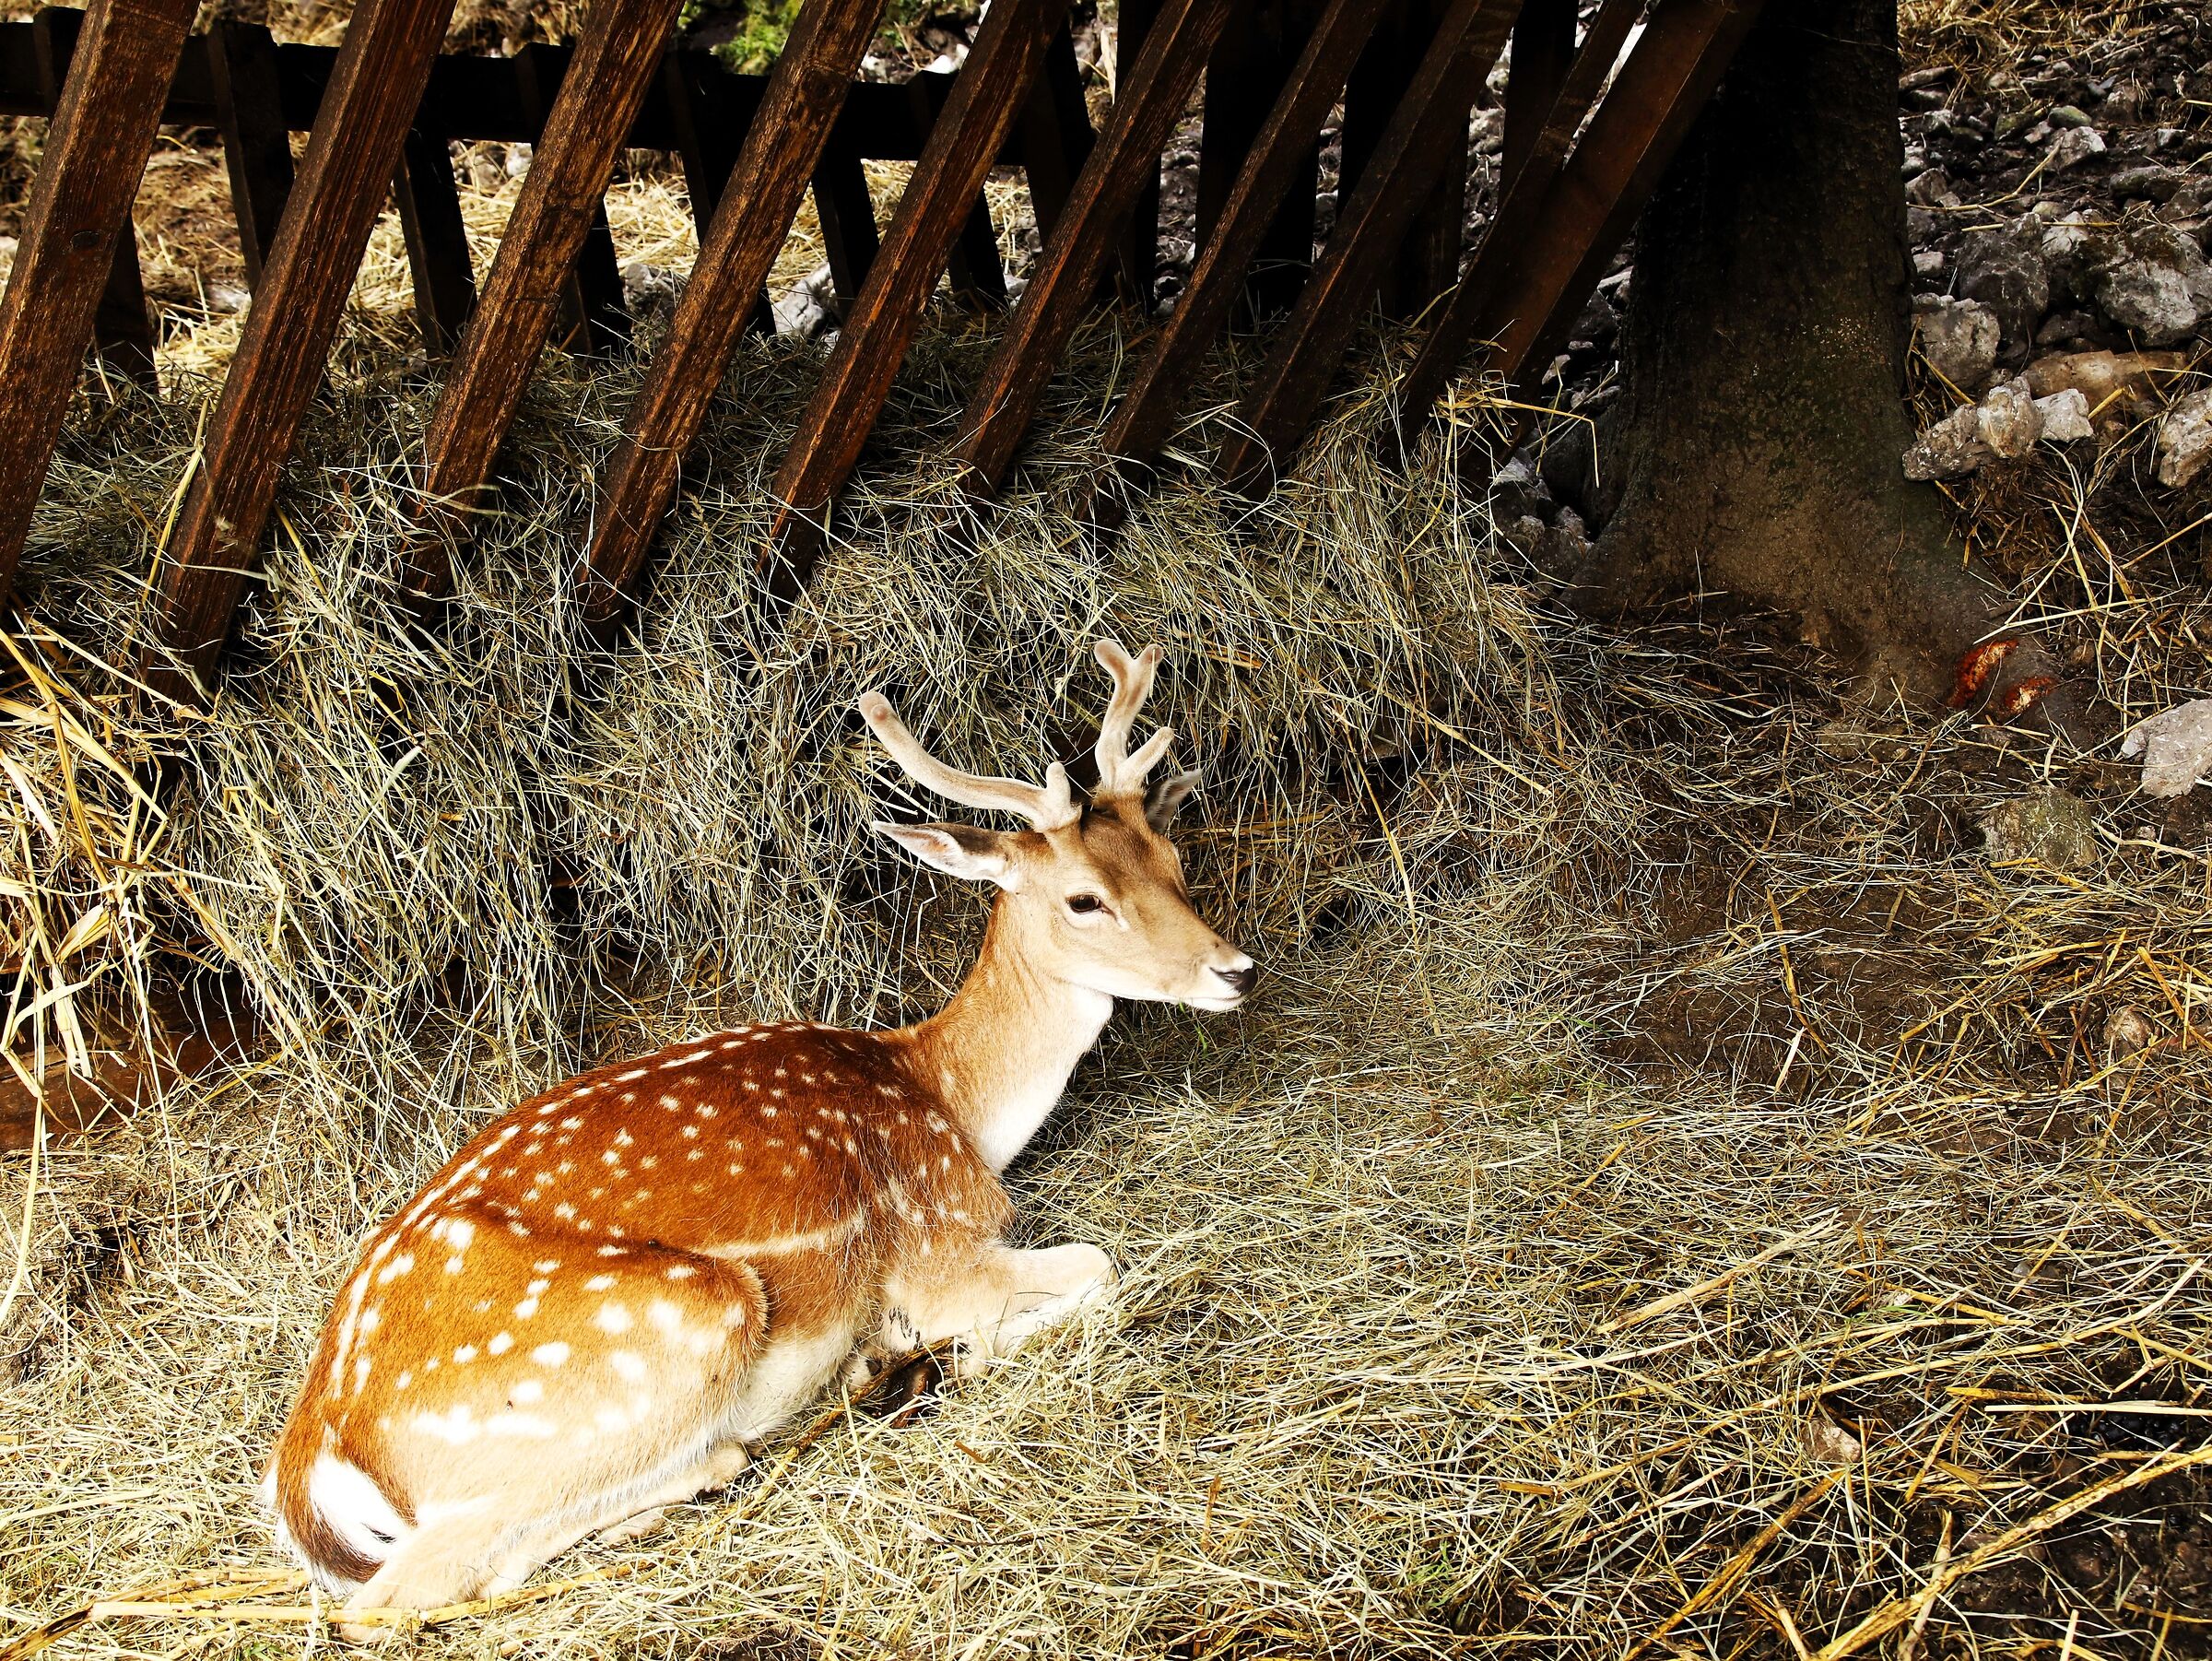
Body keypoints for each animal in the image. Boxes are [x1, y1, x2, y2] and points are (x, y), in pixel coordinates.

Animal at [262, 640, 1256, 1635]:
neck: (951, 1102)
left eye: (1173, 855)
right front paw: (934, 1347)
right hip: (670, 1327)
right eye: (1085, 899)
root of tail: (319, 1450)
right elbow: (1099, 1266)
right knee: (405, 1590)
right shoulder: (936, 1248)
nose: (1236, 969)